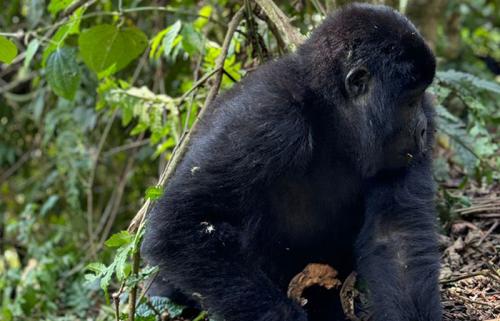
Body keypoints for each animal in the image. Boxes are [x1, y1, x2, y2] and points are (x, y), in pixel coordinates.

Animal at [142, 3, 442, 320]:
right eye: (409, 101)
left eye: (420, 98)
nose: (423, 129)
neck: (330, 113)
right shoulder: (267, 119)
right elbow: (181, 224)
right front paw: (283, 315)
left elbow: (396, 239)